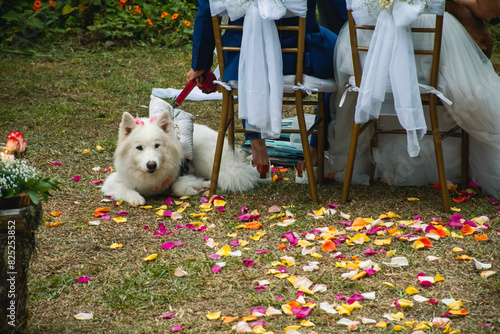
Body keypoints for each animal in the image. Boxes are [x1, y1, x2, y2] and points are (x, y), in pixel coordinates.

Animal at [101, 109, 258, 205]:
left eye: (157, 145)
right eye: (139, 148)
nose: (151, 164)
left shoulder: (183, 174)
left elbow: (177, 186)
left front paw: (194, 188)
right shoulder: (112, 181)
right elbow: (125, 190)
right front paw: (136, 198)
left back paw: (207, 183)